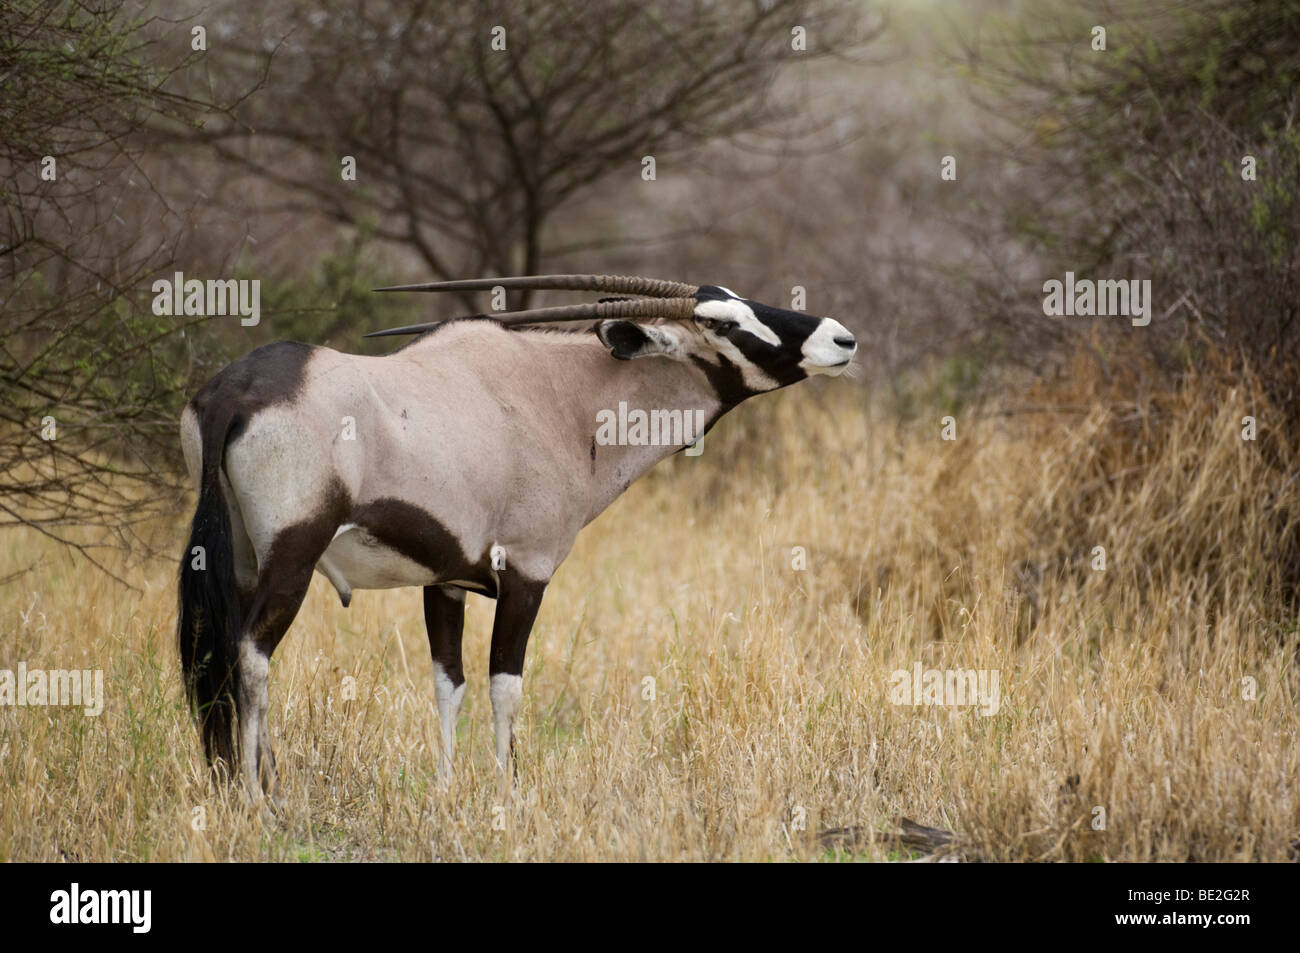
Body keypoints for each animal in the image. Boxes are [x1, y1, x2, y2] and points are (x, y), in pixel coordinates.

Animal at [180, 273, 852, 795]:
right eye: (728, 325)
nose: (842, 338)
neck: (562, 399)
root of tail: (233, 391)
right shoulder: (528, 572)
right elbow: (506, 685)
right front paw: (509, 793)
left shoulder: (445, 579)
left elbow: (448, 682)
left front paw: (447, 791)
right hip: (291, 556)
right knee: (252, 656)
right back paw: (258, 798)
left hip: (243, 561)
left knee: (227, 653)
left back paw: (259, 783)